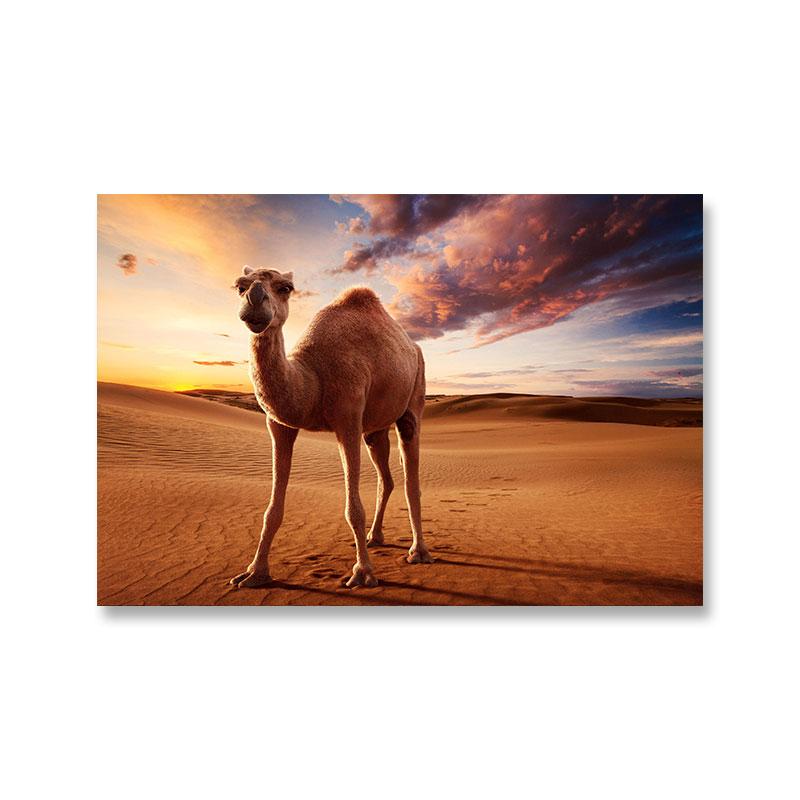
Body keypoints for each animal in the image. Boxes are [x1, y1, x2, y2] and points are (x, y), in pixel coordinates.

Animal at [229, 266, 434, 589]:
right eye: (240, 286)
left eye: (285, 287)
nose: (255, 299)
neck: (312, 379)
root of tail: (413, 346)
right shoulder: (279, 425)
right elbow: (272, 509)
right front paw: (254, 573)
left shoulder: (348, 420)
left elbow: (353, 508)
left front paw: (363, 573)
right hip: (374, 429)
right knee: (385, 477)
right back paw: (375, 537)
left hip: (415, 396)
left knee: (410, 477)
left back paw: (419, 552)